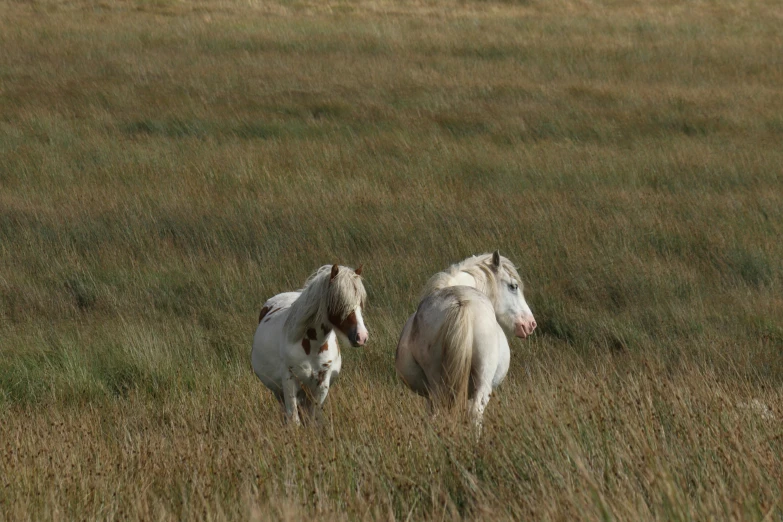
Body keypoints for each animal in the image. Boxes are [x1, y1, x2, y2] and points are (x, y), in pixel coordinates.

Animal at [254, 262, 370, 424]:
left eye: (360, 303)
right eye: (339, 302)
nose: (361, 336)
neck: (312, 346)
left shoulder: (321, 384)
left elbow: (313, 420)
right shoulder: (289, 382)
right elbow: (294, 420)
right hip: (279, 391)